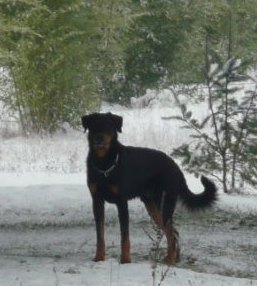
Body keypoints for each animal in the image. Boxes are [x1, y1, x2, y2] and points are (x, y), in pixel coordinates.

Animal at [81, 113, 216, 264]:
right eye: (93, 126)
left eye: (108, 126)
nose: (99, 138)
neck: (104, 164)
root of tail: (176, 167)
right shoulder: (97, 202)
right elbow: (100, 236)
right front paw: (99, 258)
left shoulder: (122, 203)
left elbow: (125, 237)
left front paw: (125, 260)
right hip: (153, 206)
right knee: (173, 232)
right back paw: (173, 258)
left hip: (165, 205)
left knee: (172, 232)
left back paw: (170, 259)